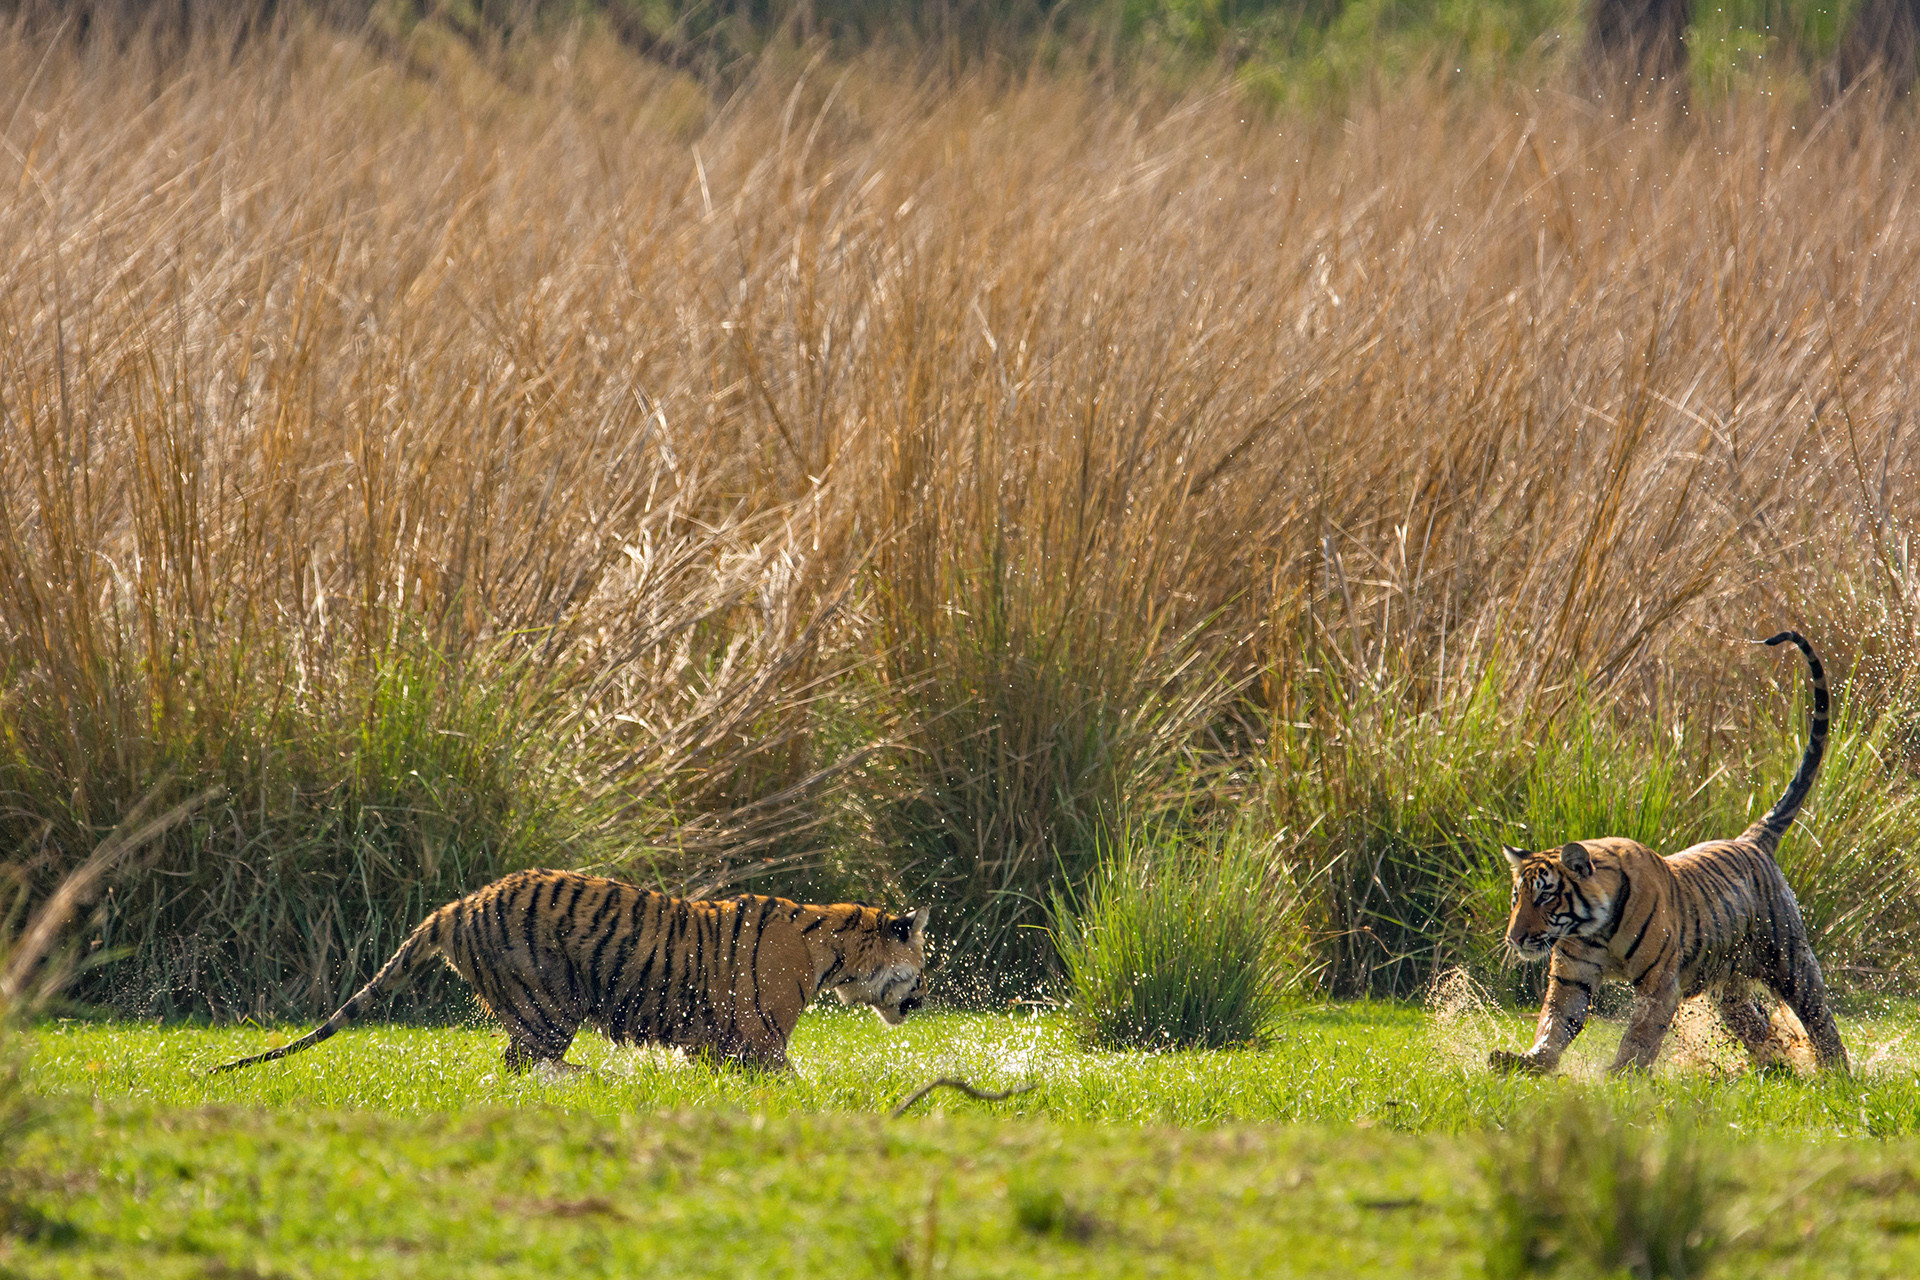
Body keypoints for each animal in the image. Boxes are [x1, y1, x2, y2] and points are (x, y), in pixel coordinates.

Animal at [208, 869, 929, 1075]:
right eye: (921, 969)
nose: (922, 1001)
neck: (838, 951)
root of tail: (459, 903)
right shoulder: (761, 1039)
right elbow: (795, 1082)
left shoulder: (719, 1042)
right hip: (548, 1001)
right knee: (523, 1063)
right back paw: (591, 1079)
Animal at [1489, 630, 1849, 1077]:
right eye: (1517, 898)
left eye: (1545, 897)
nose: (1514, 938)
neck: (1593, 929)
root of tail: (1750, 839)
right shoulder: (1572, 976)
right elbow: (1555, 1022)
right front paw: (1528, 1062)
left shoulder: (1660, 982)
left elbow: (1641, 1033)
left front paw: (1619, 1077)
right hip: (1729, 985)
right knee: (1758, 1025)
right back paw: (1776, 1069)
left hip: (1788, 957)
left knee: (1820, 1018)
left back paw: (1837, 1074)